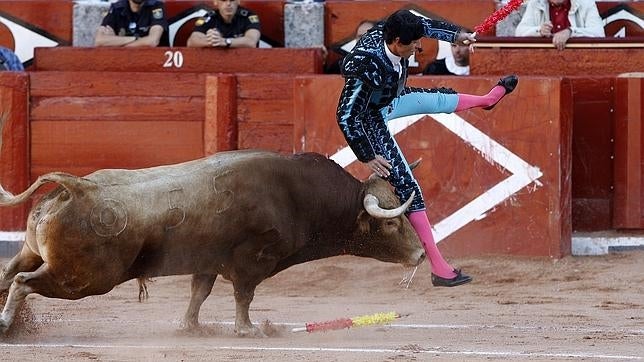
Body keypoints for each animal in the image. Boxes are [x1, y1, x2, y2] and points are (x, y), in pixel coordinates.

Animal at [0, 148, 426, 336]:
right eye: (392, 224)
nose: (422, 253)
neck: (297, 194)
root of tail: (75, 187)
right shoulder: (252, 263)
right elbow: (243, 296)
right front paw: (247, 330)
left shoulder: (207, 263)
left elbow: (199, 294)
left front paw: (191, 326)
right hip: (85, 278)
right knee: (23, 282)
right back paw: (6, 324)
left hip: (33, 254)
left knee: (8, 274)